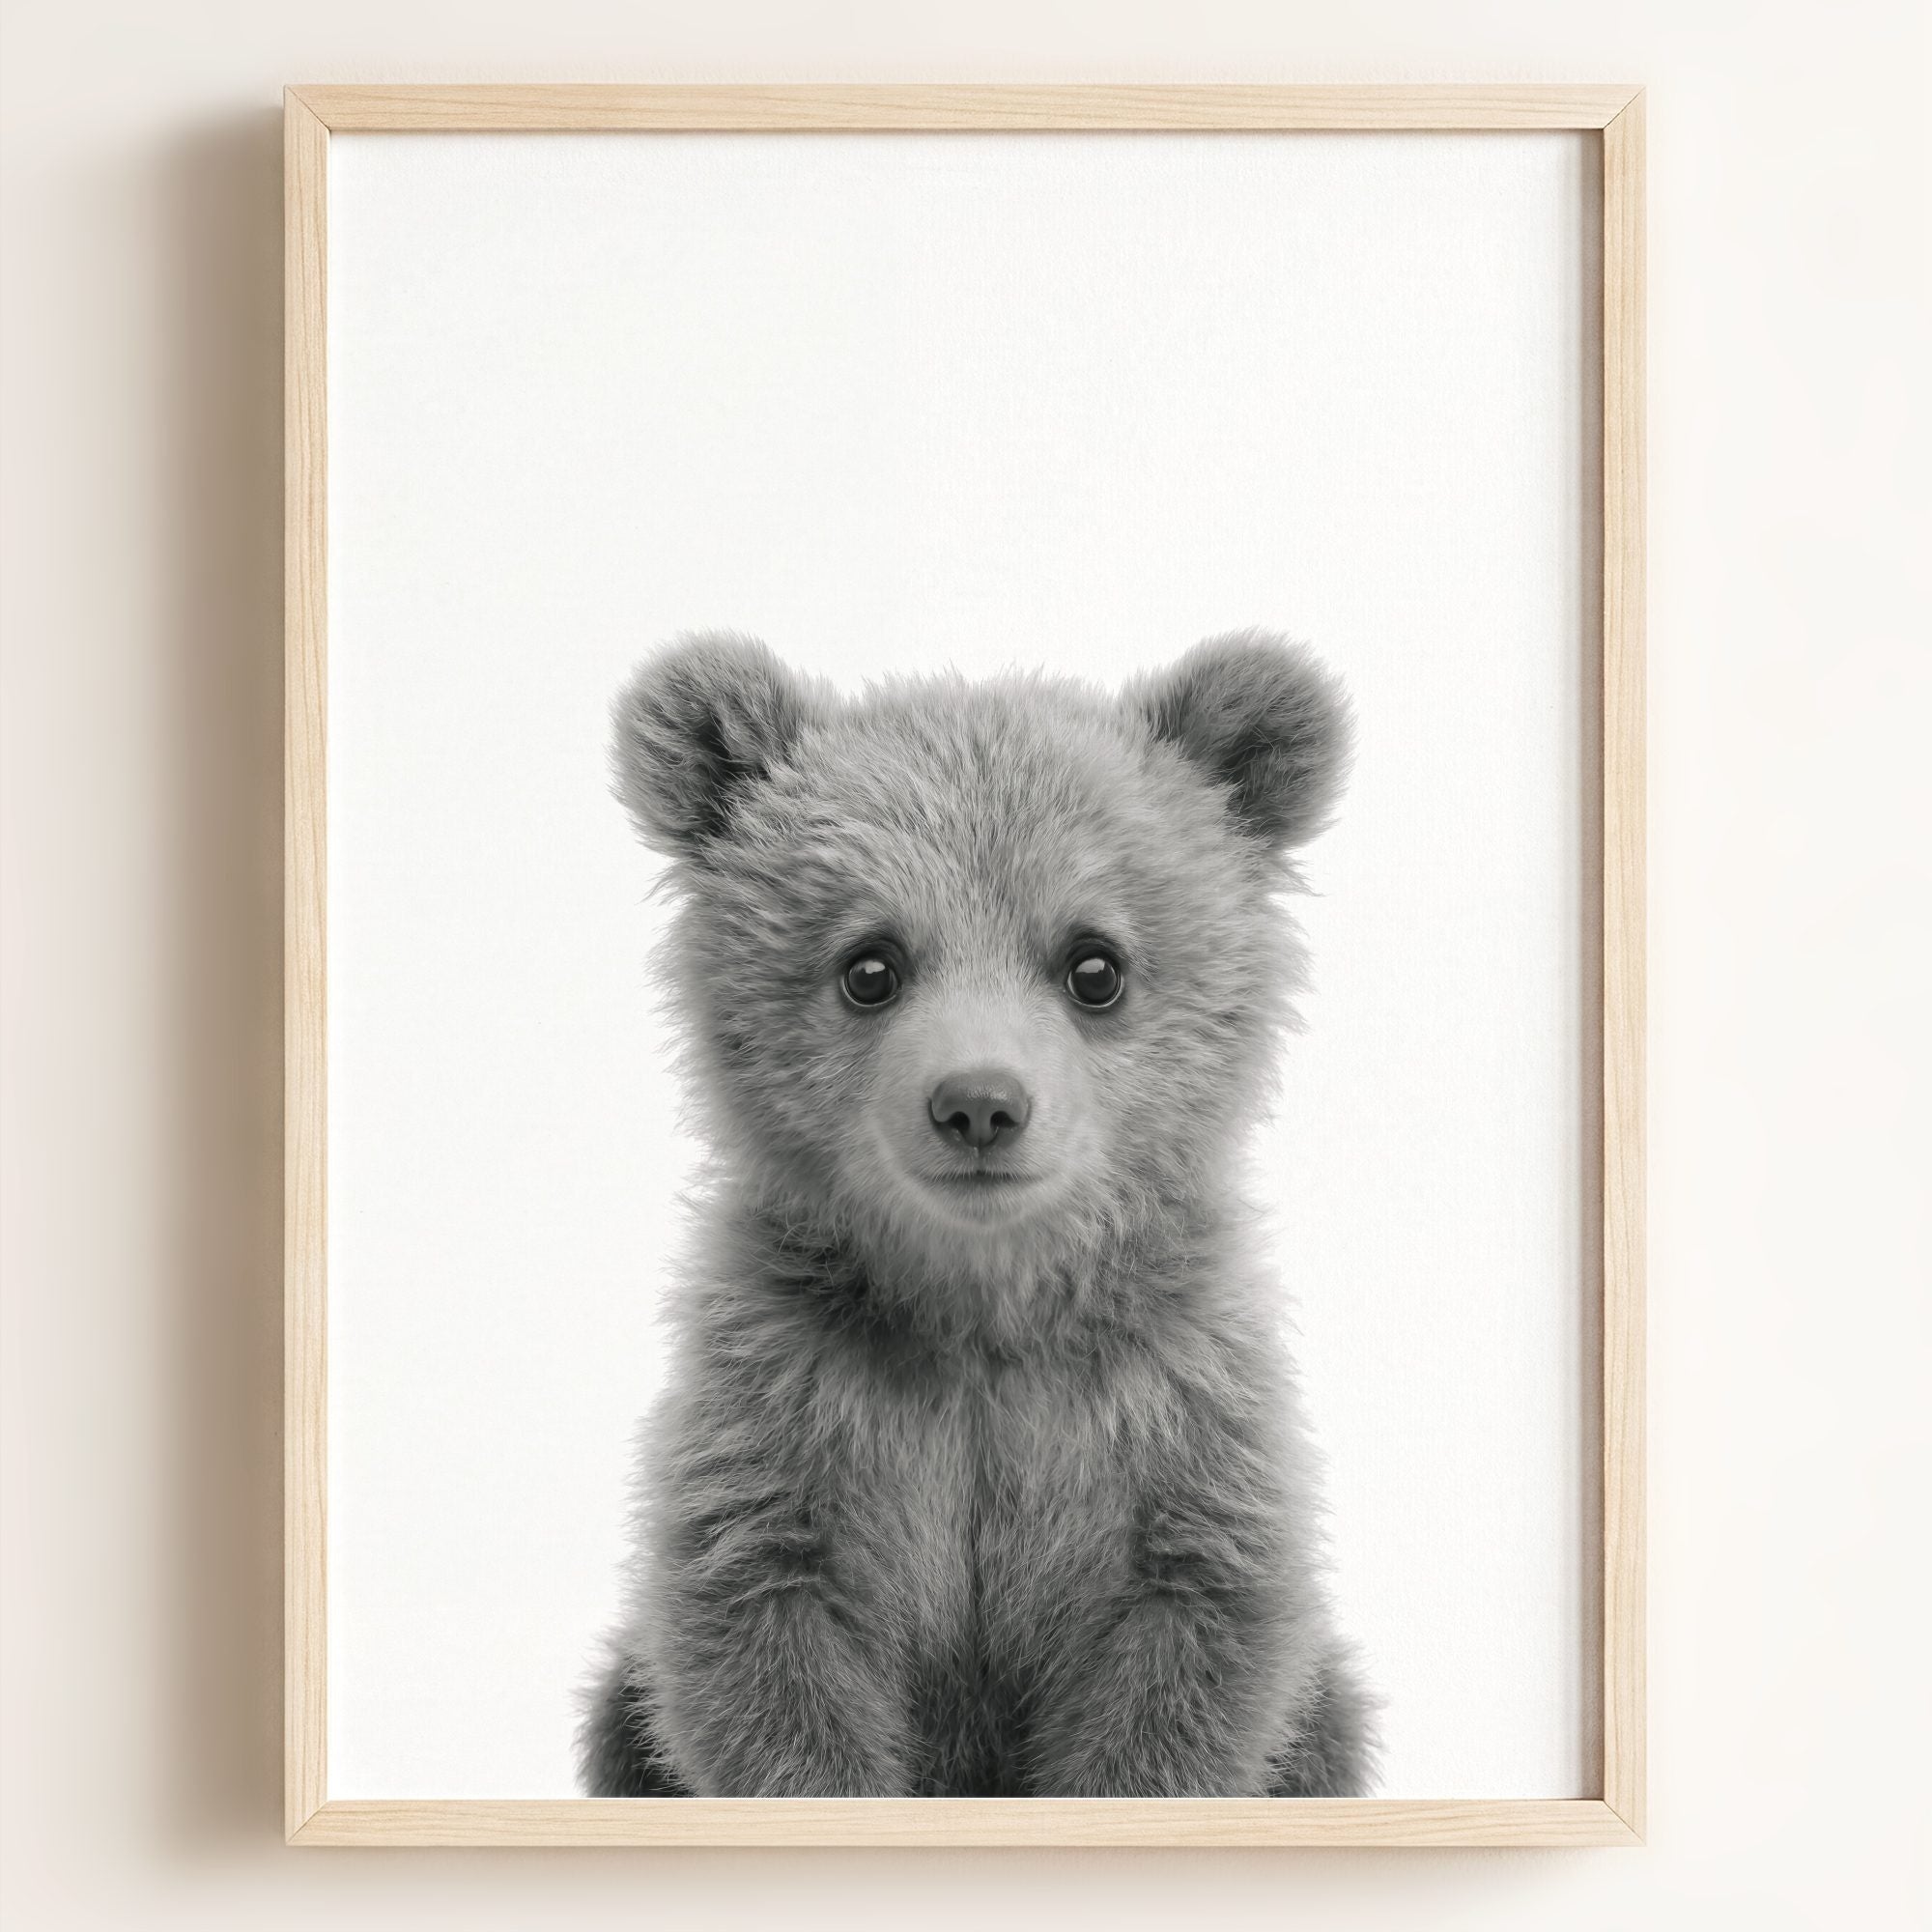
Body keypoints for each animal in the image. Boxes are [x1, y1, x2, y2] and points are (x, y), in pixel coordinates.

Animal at [580, 628, 1376, 1799]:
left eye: (1094, 964)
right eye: (869, 964)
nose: (979, 1104)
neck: (980, 1308)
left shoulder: (1169, 1418)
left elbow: (1186, 1659)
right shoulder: (789, 1409)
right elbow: (765, 1651)